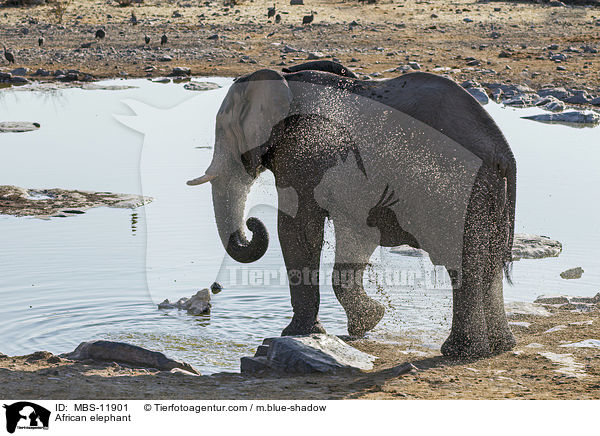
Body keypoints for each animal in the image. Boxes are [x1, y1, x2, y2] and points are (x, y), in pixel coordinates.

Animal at [190, 61, 516, 358]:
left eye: (225, 129)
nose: (253, 223)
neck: (285, 77)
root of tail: (503, 153)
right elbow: (353, 236)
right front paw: (367, 321)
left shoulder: (304, 152)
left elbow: (297, 227)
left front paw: (295, 334)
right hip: (488, 194)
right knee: (489, 264)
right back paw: (500, 347)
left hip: (458, 188)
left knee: (460, 261)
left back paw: (460, 352)